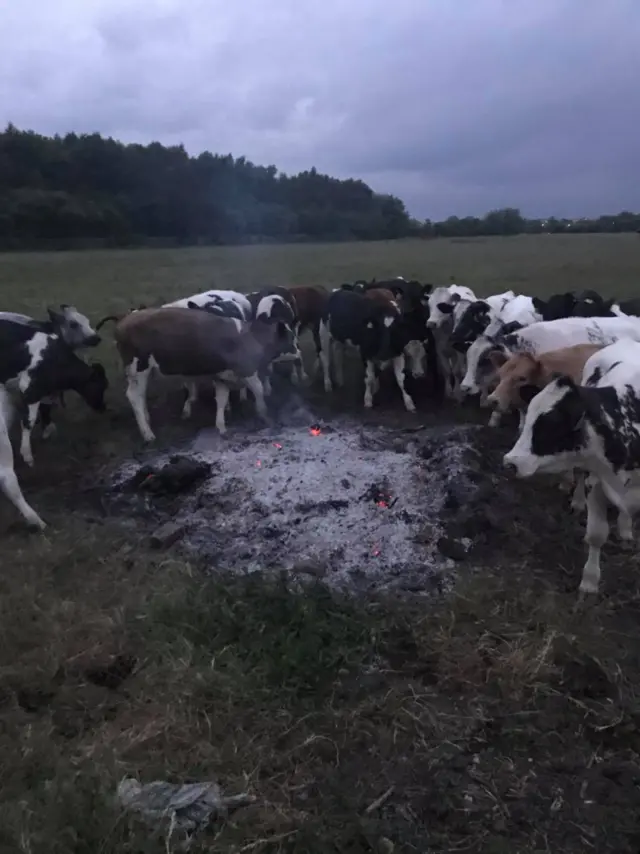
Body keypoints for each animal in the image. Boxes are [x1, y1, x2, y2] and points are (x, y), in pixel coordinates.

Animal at [0, 320, 107, 468]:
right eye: (101, 387)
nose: (103, 407)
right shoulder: (31, 389)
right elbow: (29, 421)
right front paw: (27, 456)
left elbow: (45, 408)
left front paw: (48, 429)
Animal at [113, 308, 298, 442]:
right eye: (291, 338)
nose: (299, 352)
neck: (251, 337)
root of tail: (126, 319)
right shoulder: (247, 371)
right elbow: (259, 391)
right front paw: (264, 415)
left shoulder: (222, 377)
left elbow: (221, 400)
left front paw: (221, 427)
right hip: (139, 367)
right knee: (133, 396)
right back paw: (147, 433)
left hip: (143, 372)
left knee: (141, 395)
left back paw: (147, 420)